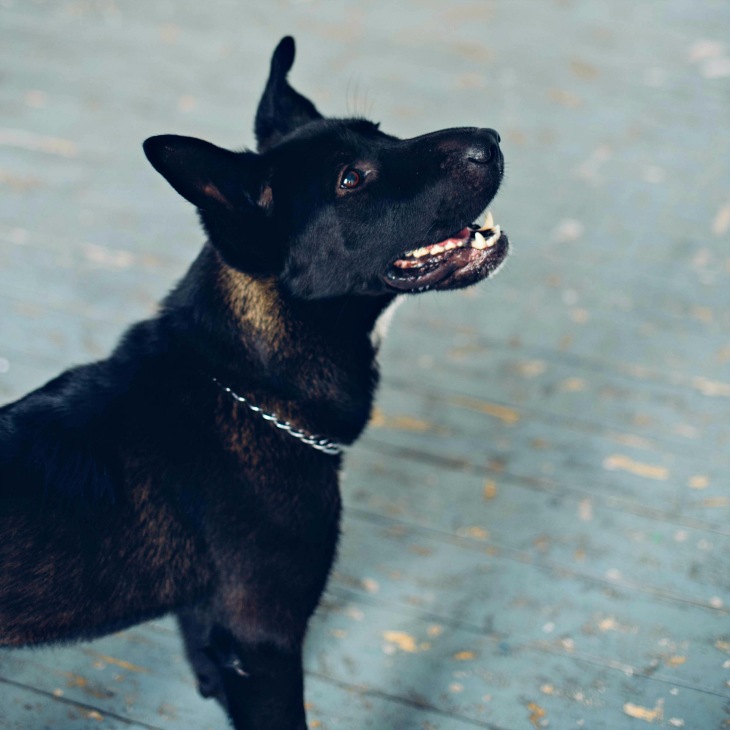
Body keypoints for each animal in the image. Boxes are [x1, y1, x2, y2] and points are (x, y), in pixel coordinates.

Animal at [0, 36, 508, 729]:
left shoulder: (216, 632)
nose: (491, 138)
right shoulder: (262, 643)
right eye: (350, 180)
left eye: (381, 133)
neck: (242, 382)